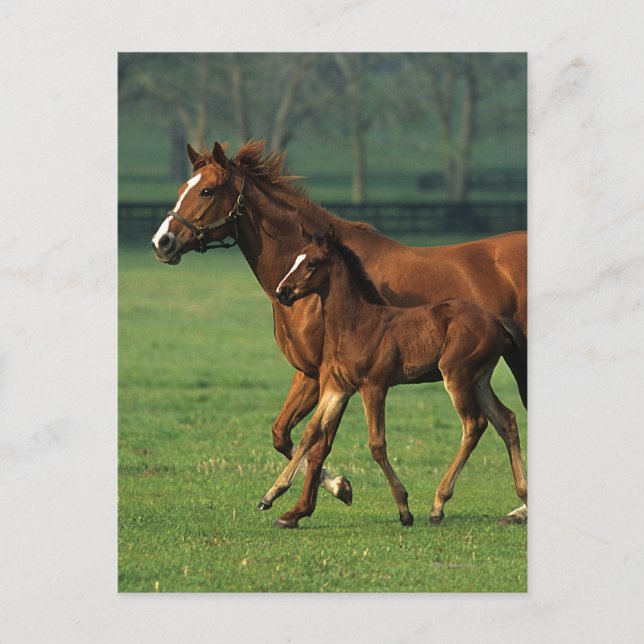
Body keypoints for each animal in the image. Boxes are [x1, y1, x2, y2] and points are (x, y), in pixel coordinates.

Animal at [258, 224, 527, 528]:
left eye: (312, 263)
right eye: (295, 259)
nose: (282, 292)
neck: (356, 323)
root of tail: (496, 320)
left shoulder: (373, 386)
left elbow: (376, 444)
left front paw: (404, 509)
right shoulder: (338, 388)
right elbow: (310, 433)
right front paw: (271, 497)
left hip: (457, 376)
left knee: (474, 425)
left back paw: (438, 505)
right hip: (479, 380)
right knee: (505, 419)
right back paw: (523, 497)